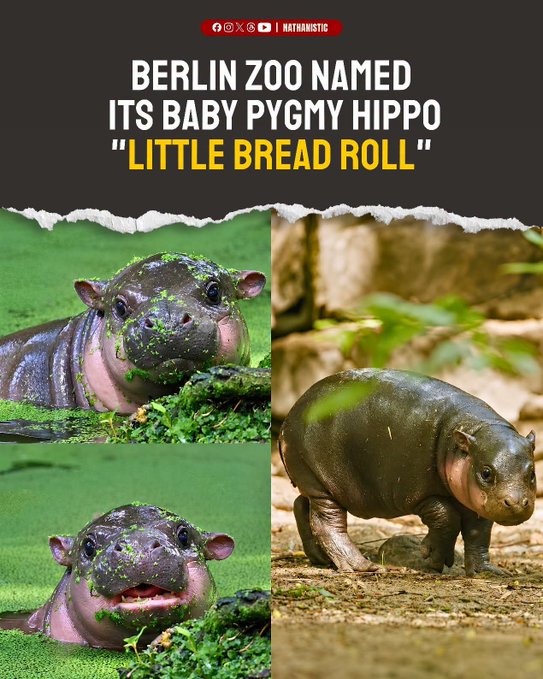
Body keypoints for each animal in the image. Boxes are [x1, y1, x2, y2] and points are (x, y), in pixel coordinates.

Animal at [279, 369, 537, 576]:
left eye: (533, 473)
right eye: (486, 472)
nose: (516, 503)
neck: (474, 431)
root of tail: (290, 416)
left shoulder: (475, 503)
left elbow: (478, 534)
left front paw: (487, 572)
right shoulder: (417, 493)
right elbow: (447, 517)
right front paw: (432, 559)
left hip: (312, 481)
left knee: (301, 507)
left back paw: (322, 559)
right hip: (320, 481)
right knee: (326, 523)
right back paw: (361, 567)